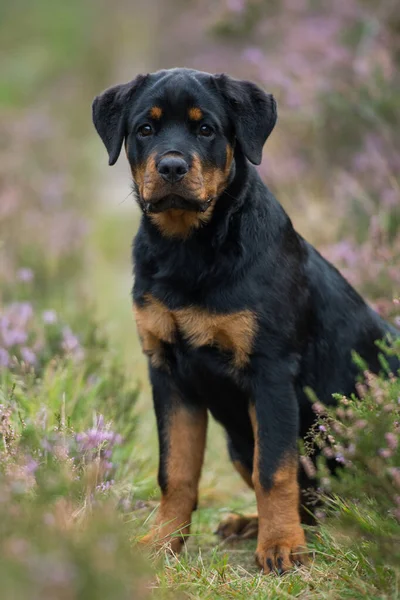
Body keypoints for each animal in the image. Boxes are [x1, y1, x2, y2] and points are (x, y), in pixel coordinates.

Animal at [91, 68, 400, 576]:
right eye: (145, 129)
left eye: (205, 129)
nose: (171, 167)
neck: (190, 250)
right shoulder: (168, 372)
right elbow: (175, 470)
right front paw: (162, 542)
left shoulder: (269, 371)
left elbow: (273, 470)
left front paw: (281, 549)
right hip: (237, 439)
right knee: (312, 506)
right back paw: (245, 524)